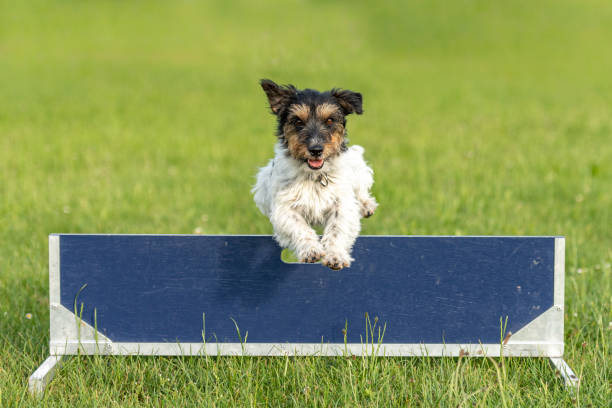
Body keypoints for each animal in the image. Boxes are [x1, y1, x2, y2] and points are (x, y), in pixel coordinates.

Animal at [252, 79, 378, 270]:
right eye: (297, 121)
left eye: (330, 120)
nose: (316, 150)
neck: (314, 176)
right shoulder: (284, 209)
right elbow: (300, 228)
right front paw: (311, 251)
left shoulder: (342, 205)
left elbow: (336, 230)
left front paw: (335, 256)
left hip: (357, 167)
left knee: (361, 192)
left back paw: (366, 206)